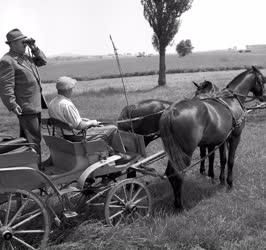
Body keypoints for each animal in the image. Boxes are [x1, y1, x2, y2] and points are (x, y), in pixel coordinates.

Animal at [159, 65, 264, 210]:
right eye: (262, 79)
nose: (263, 96)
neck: (232, 100)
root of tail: (172, 110)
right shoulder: (235, 137)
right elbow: (230, 161)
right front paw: (229, 183)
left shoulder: (223, 139)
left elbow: (222, 160)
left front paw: (221, 180)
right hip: (185, 151)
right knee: (179, 174)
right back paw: (180, 206)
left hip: (175, 151)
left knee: (170, 172)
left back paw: (176, 203)